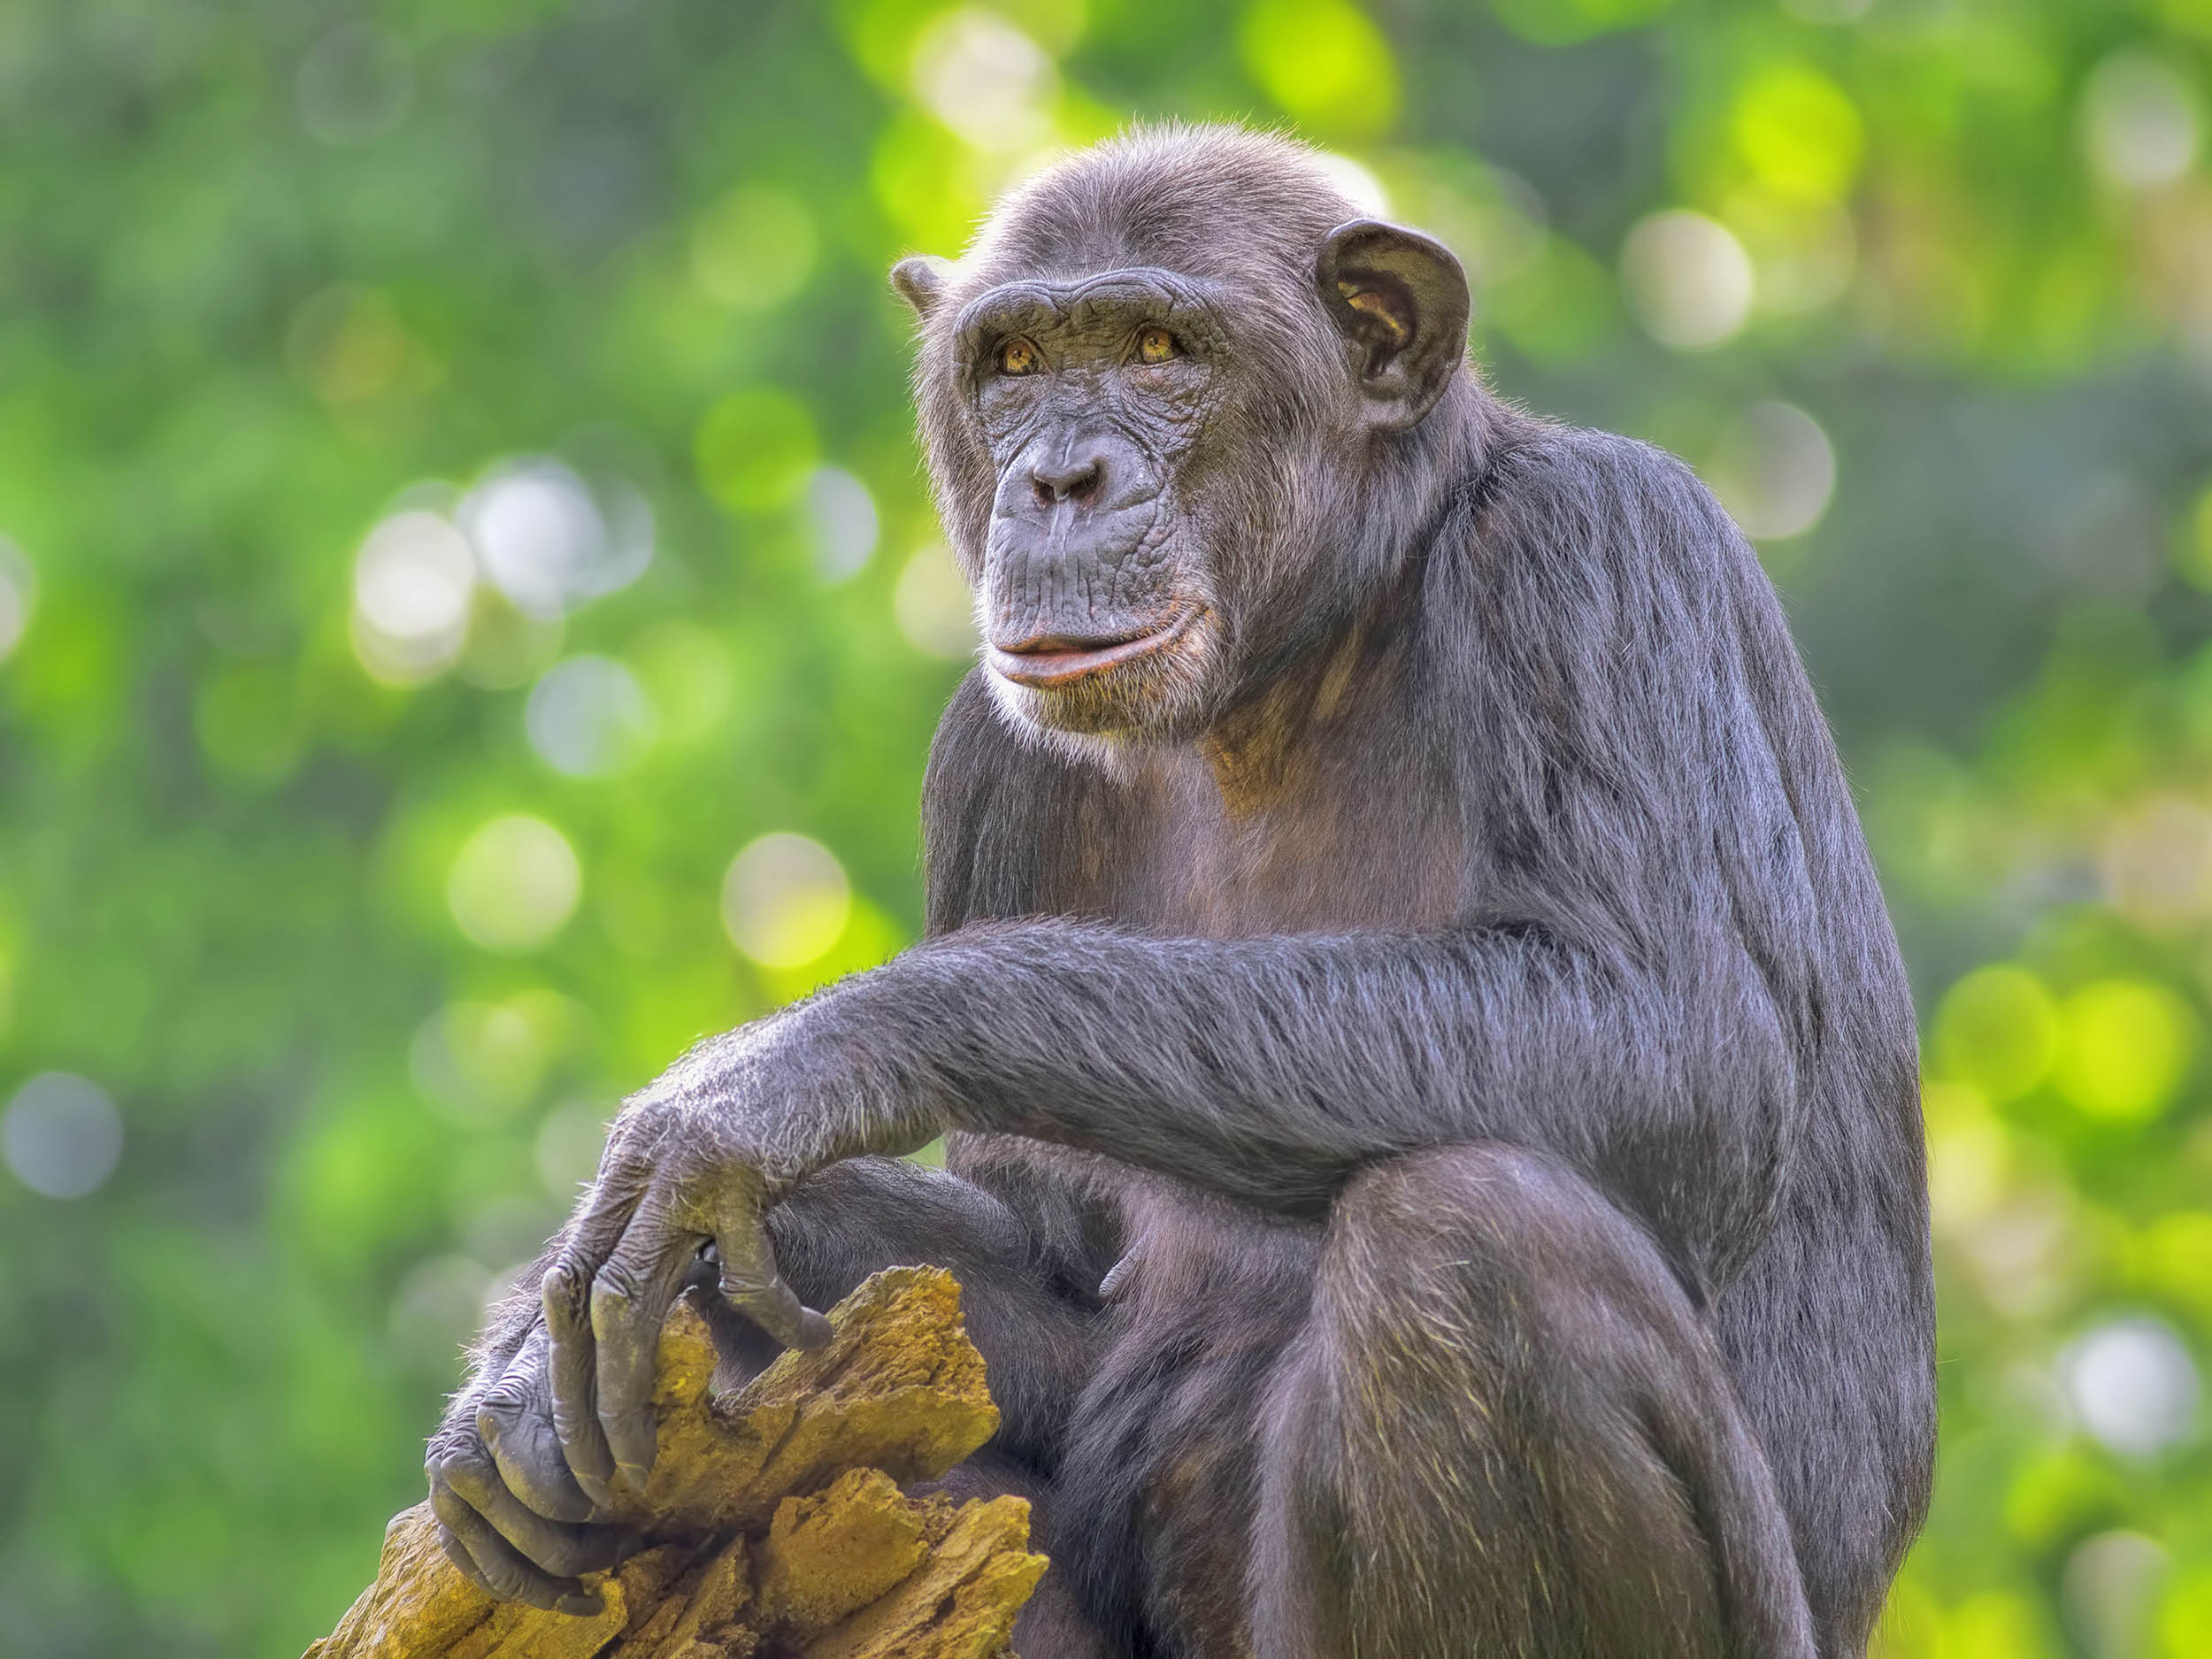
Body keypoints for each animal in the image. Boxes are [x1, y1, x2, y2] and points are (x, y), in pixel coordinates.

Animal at [423, 124, 1935, 1659]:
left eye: (1159, 348)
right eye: (1015, 362)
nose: (1061, 478)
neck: (1296, 664)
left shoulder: (1601, 551)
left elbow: (1674, 1038)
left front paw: (783, 1074)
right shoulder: (989, 767)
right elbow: (1049, 1256)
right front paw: (540, 1358)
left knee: (1467, 1240)